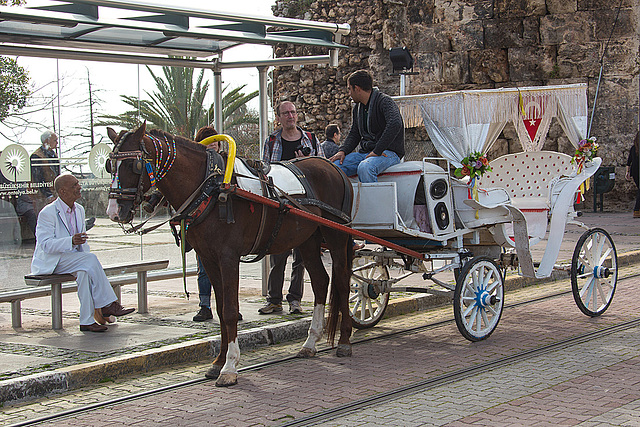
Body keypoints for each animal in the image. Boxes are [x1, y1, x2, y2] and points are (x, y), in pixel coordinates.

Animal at [105, 123, 356, 388]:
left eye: (134, 165)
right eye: (110, 165)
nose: (114, 212)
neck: (211, 188)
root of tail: (332, 166)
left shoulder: (228, 258)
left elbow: (229, 310)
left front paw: (230, 366)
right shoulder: (208, 258)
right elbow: (220, 308)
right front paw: (218, 362)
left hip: (337, 236)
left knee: (341, 281)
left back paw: (344, 341)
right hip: (307, 240)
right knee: (320, 282)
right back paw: (310, 342)